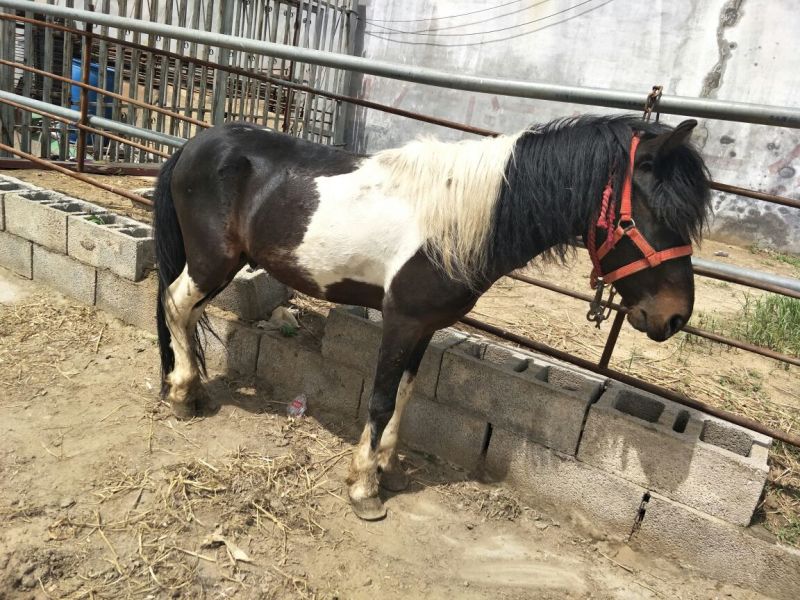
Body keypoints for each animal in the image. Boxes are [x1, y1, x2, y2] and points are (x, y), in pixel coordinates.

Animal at [153, 114, 711, 521]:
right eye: (650, 216)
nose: (674, 317)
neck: (455, 221)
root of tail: (194, 144)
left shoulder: (423, 327)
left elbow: (405, 394)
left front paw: (388, 468)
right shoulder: (399, 320)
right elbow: (380, 400)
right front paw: (364, 489)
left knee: (184, 311)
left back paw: (192, 388)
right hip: (212, 262)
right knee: (176, 304)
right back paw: (182, 395)